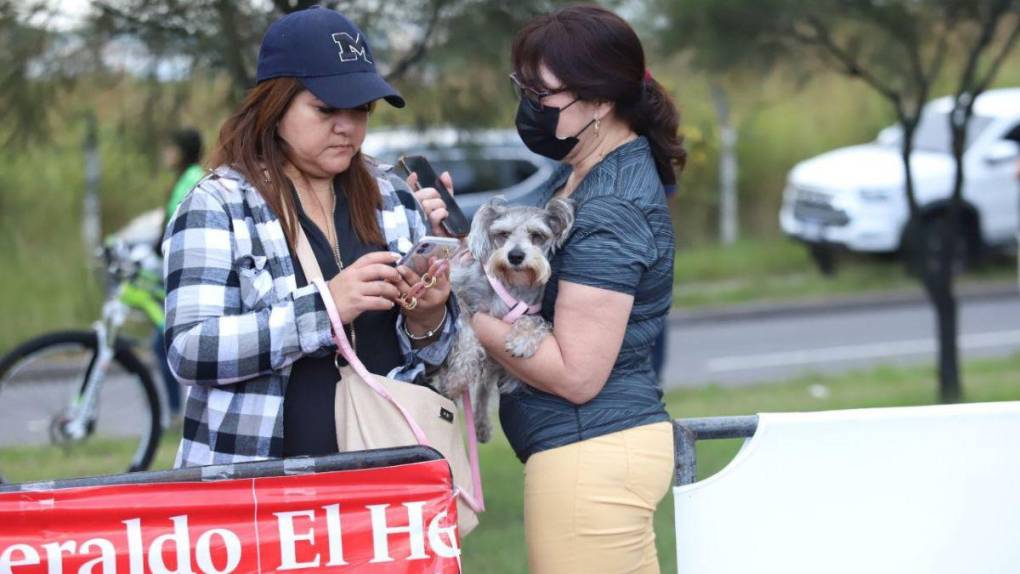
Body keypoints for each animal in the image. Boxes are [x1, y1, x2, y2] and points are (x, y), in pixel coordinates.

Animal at [440, 195, 575, 442]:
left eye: (537, 235)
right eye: (503, 234)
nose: (515, 256)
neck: (514, 285)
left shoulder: (534, 312)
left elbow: (537, 323)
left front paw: (523, 339)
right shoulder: (459, 295)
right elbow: (467, 336)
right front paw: (458, 378)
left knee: (484, 388)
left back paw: (481, 425)